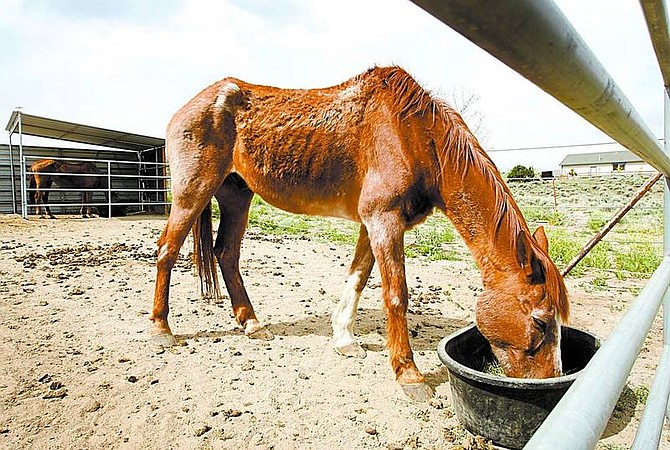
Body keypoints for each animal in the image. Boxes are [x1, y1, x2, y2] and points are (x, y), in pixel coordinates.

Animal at [152, 66, 572, 400]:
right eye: (540, 321)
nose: (550, 382)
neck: (414, 135)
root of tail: (188, 107)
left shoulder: (374, 225)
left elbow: (357, 277)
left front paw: (344, 339)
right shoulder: (383, 220)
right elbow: (396, 295)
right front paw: (409, 374)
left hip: (236, 194)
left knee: (226, 254)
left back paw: (252, 323)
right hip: (193, 191)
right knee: (167, 250)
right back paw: (162, 329)